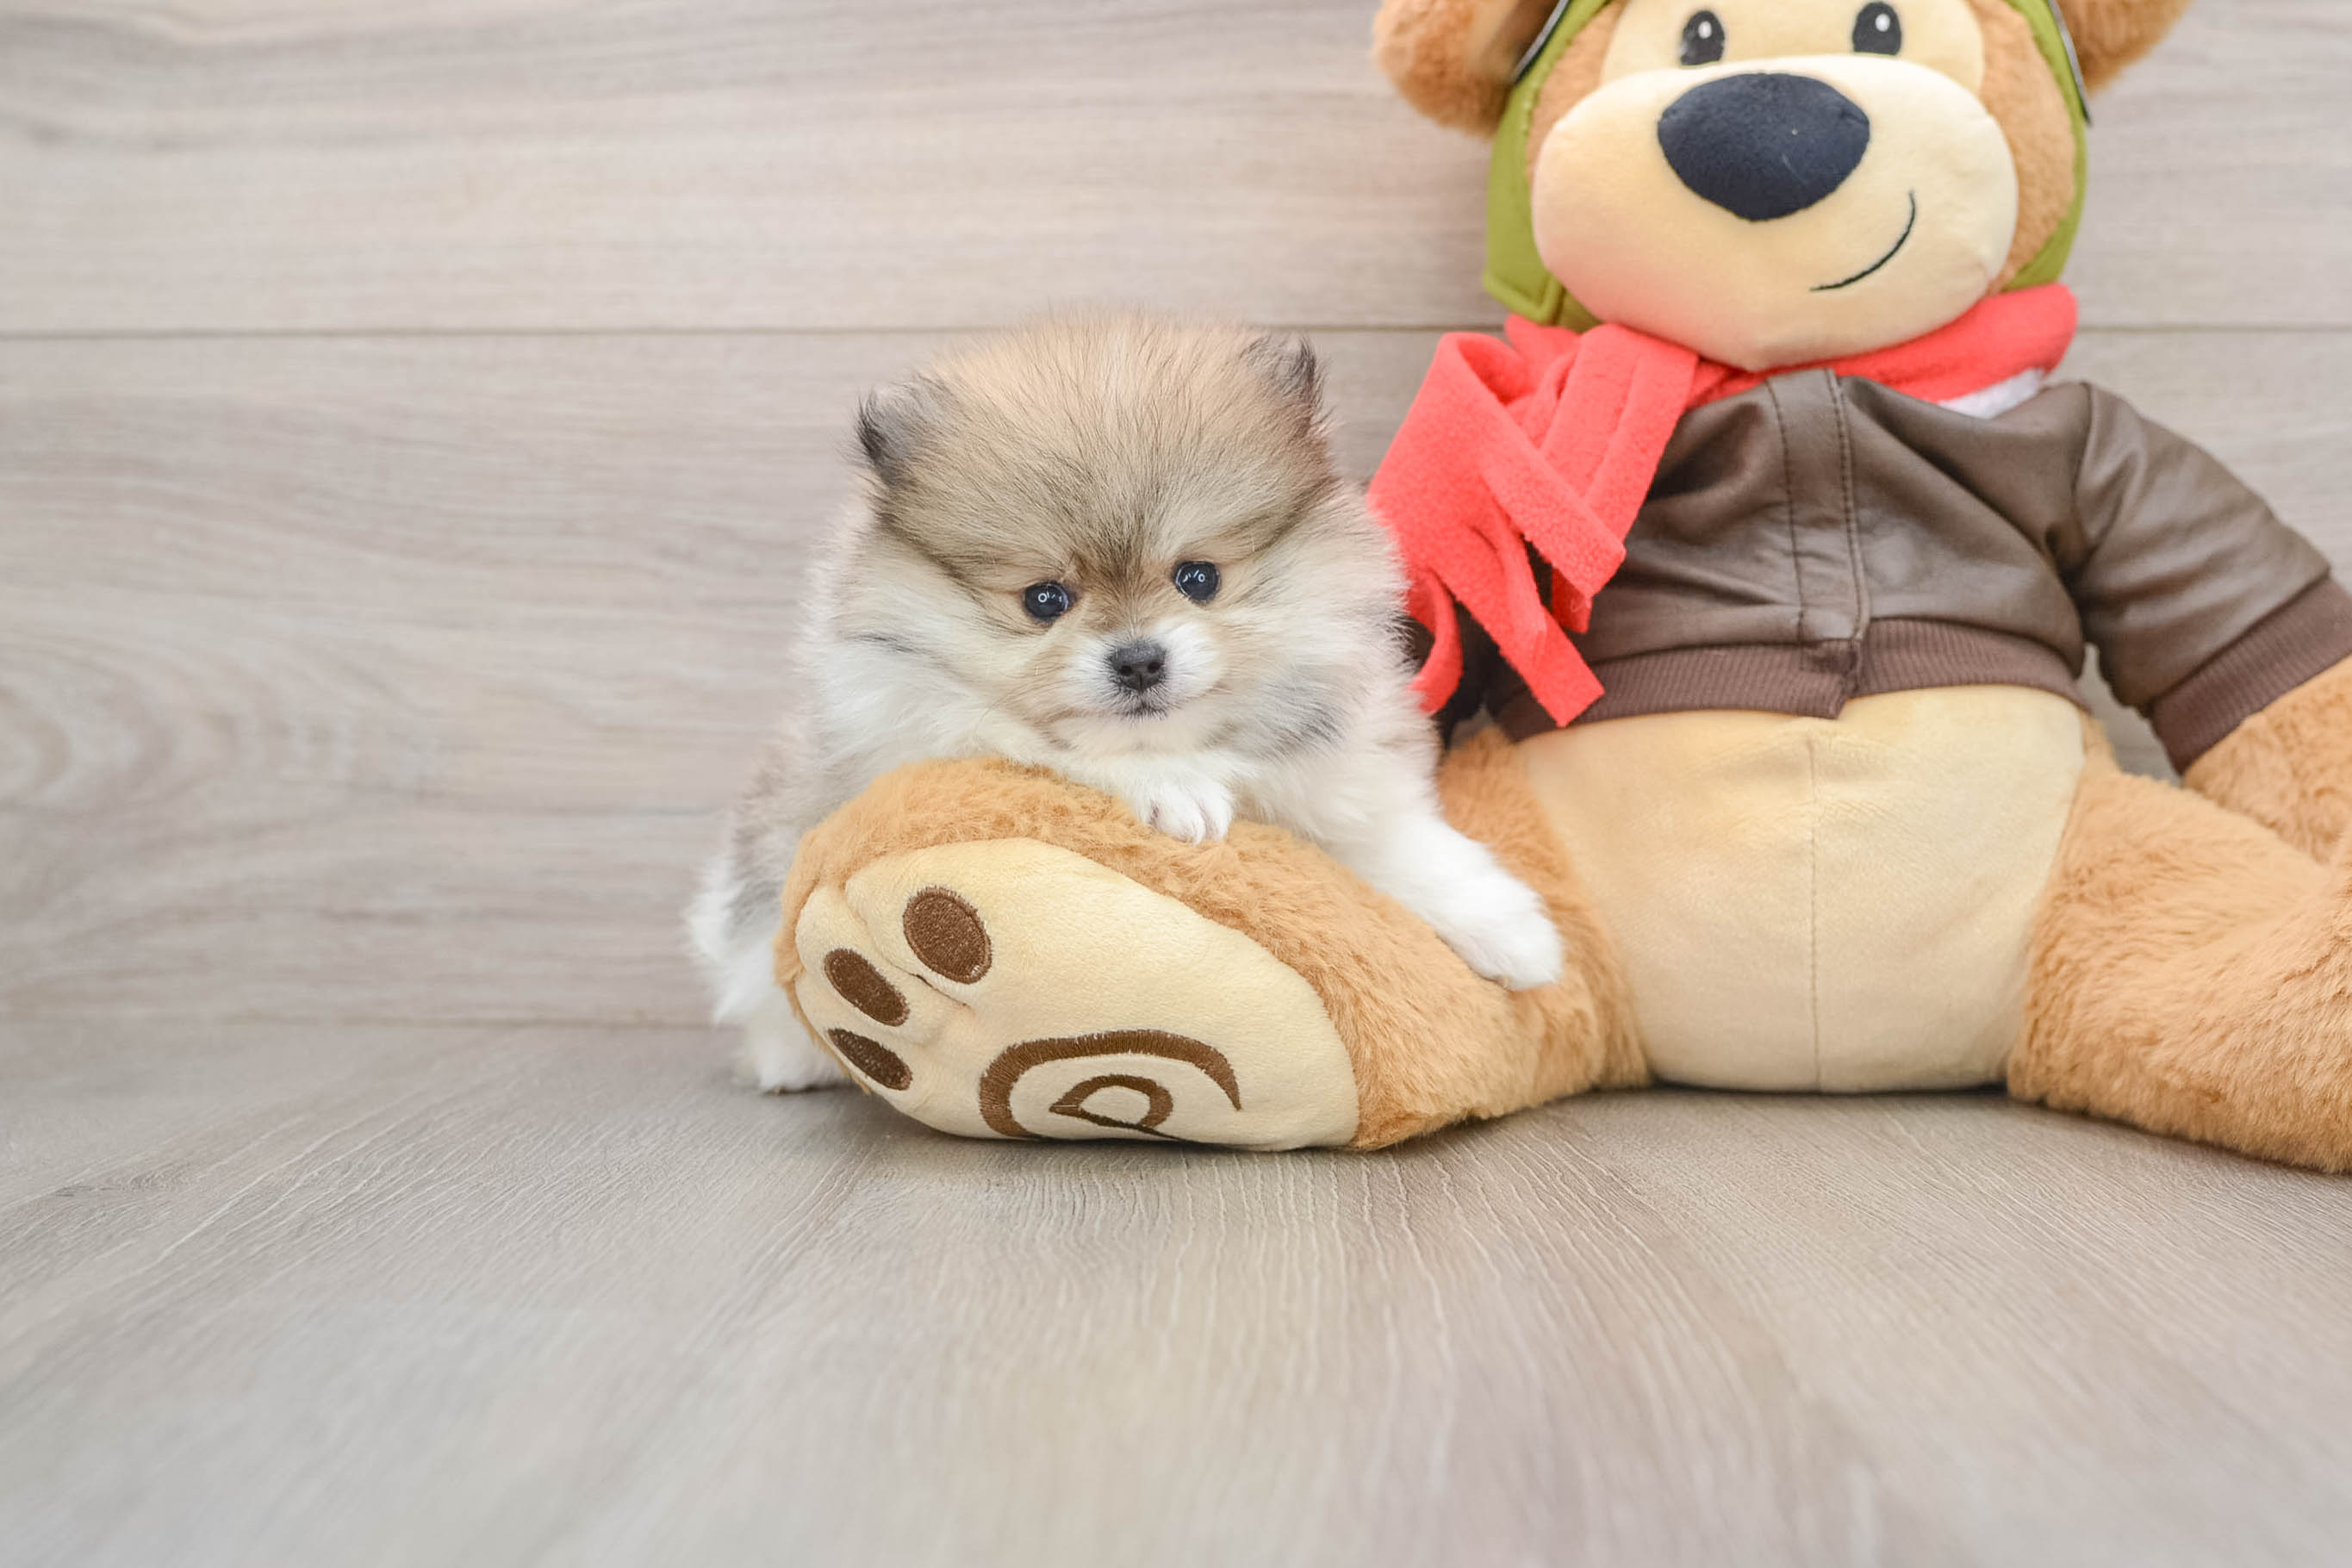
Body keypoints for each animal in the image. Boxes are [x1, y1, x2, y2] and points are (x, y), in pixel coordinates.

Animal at [689, 314, 1563, 1091]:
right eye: (1045, 599)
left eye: (1198, 578)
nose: (1139, 659)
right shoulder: (925, 734)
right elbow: (1063, 752)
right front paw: (1175, 790)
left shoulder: (1334, 778)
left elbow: (1407, 849)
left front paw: (1518, 935)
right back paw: (792, 1061)